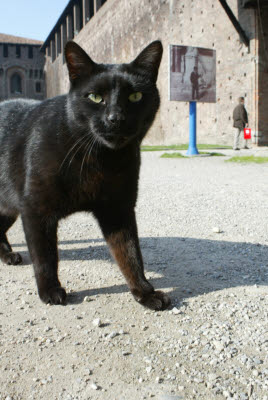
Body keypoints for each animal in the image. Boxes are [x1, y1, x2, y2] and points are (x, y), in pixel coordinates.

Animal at [0, 39, 171, 310]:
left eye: (135, 96)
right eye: (95, 97)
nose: (115, 118)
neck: (100, 159)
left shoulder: (118, 209)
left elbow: (130, 254)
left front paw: (145, 292)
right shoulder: (35, 210)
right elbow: (45, 257)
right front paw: (50, 291)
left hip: (8, 207)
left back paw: (7, 254)